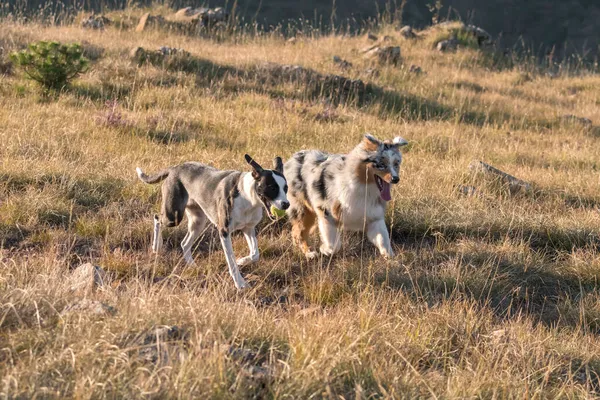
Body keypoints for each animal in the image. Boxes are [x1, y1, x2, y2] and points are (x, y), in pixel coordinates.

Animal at [135, 155, 288, 290]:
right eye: (272, 187)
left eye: (286, 188)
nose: (286, 204)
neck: (247, 196)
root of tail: (175, 168)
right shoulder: (224, 231)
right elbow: (231, 262)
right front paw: (240, 284)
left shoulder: (248, 228)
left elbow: (255, 254)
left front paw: (242, 261)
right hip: (174, 216)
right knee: (157, 218)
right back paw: (156, 246)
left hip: (198, 221)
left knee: (184, 243)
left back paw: (192, 265)